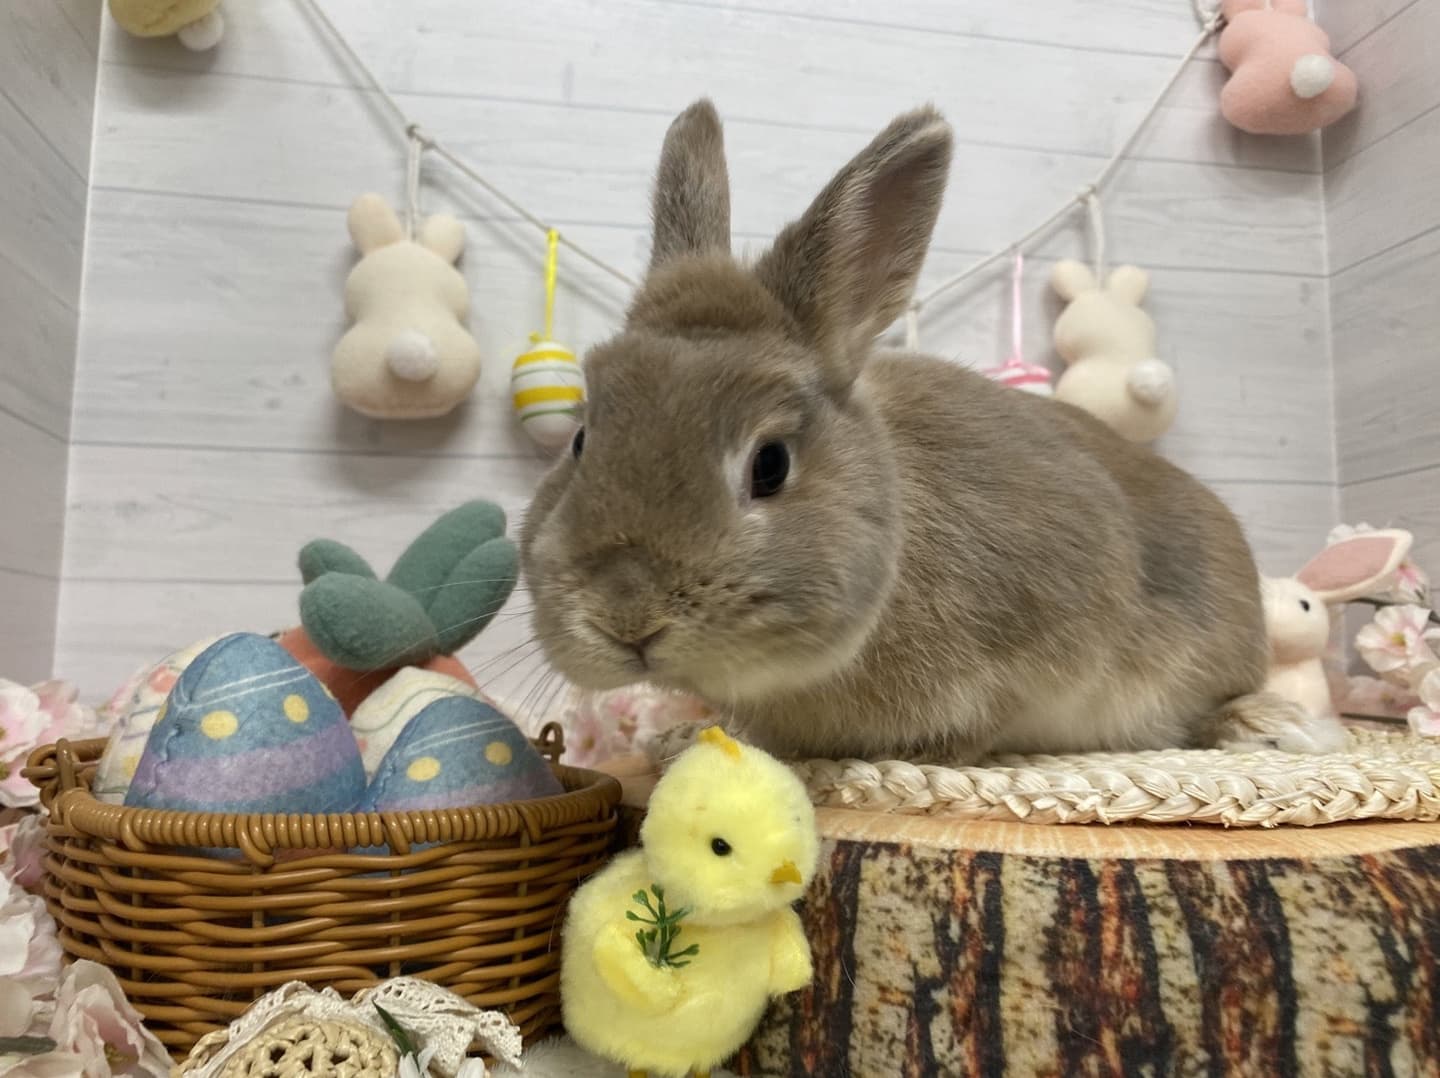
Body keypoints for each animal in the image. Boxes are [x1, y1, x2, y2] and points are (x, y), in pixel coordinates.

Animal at [520, 99, 1308, 762]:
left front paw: (920, 758)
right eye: (582, 441)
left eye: (770, 465)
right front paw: (691, 738)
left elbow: (987, 721)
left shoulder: (1050, 639)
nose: (627, 616)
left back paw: (1269, 729)